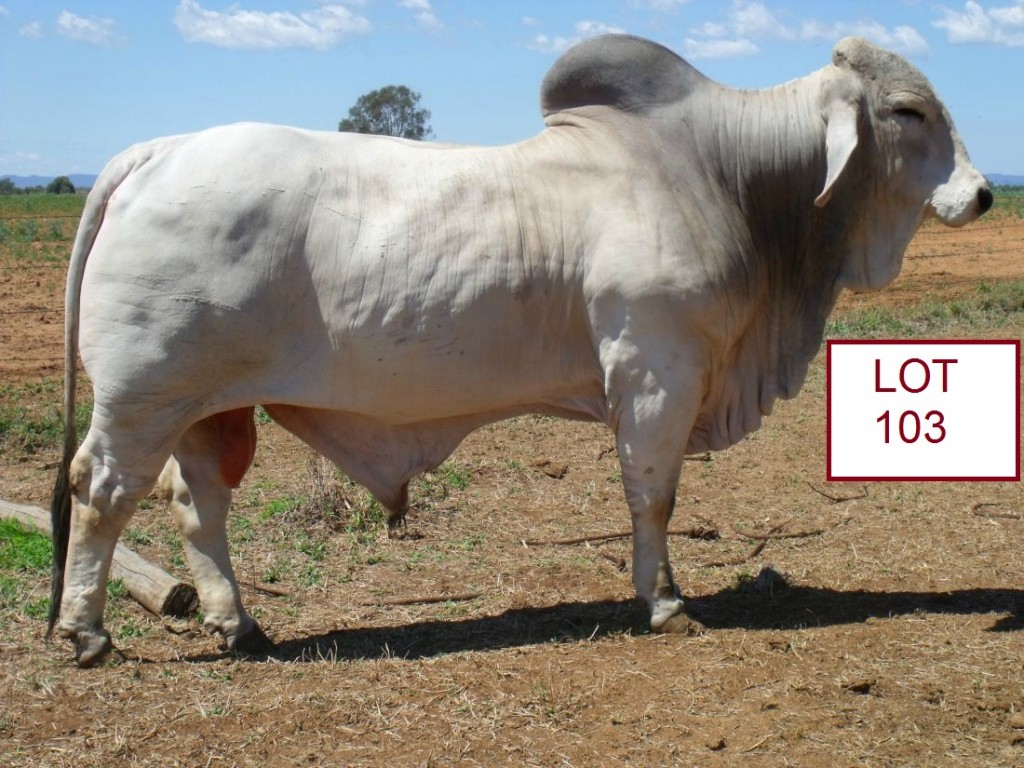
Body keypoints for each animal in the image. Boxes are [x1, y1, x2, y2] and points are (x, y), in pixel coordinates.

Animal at [49, 35, 992, 667]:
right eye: (908, 111)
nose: (983, 194)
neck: (730, 178)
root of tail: (157, 150)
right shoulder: (656, 372)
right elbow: (653, 496)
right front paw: (664, 602)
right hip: (143, 397)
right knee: (102, 492)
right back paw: (87, 632)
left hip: (208, 406)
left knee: (197, 502)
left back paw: (238, 624)